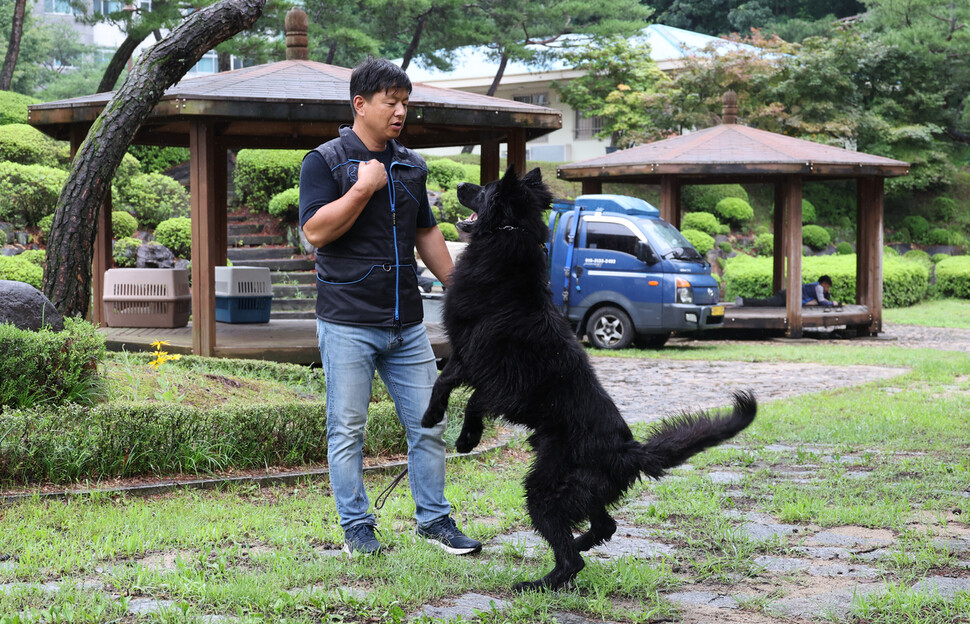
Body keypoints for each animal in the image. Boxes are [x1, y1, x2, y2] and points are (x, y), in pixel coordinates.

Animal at [420, 165, 752, 588]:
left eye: (485, 188)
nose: (459, 184)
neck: (511, 235)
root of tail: (628, 451)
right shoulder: (476, 364)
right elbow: (456, 389)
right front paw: (454, 429)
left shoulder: (484, 367)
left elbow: (456, 390)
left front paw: (454, 432)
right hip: (580, 491)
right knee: (604, 526)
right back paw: (577, 545)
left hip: (545, 489)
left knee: (571, 560)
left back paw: (538, 583)